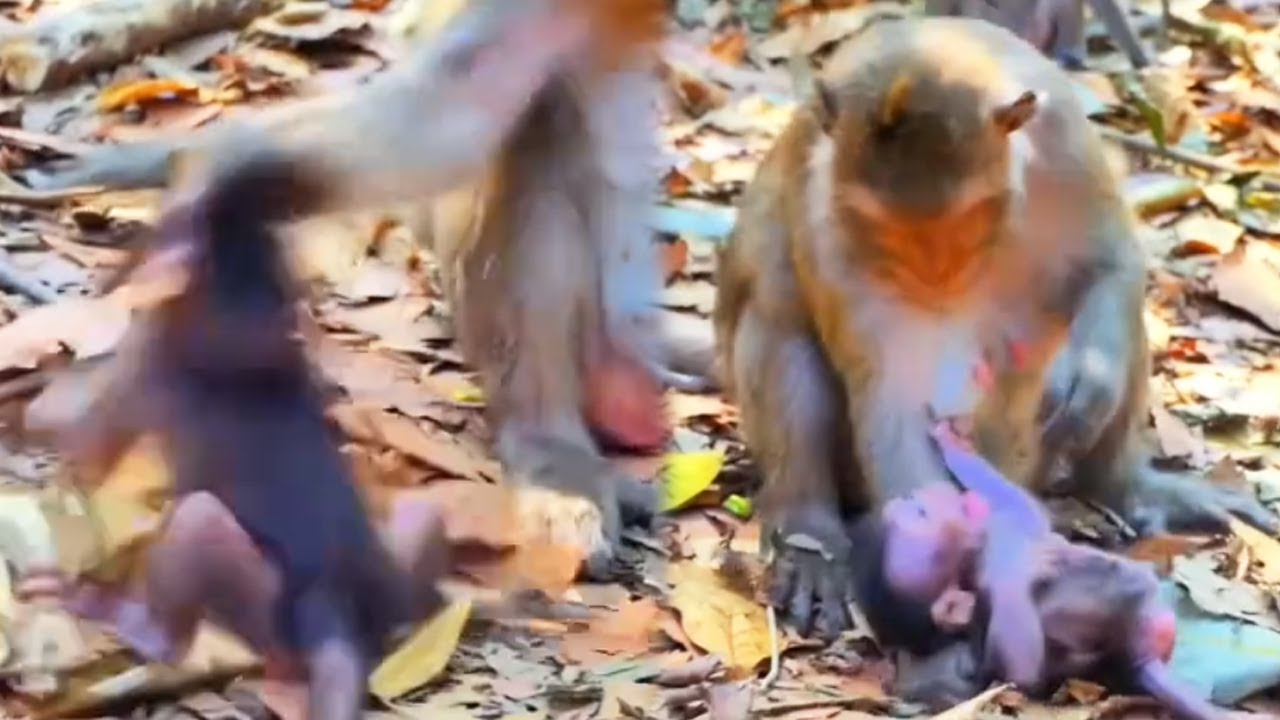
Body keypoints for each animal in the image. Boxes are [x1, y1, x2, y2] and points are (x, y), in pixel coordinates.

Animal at [711, 15, 1276, 641]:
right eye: (886, 232)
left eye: (967, 221)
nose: (933, 279)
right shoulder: (829, 215)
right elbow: (894, 394)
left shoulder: (1064, 143)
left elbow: (1111, 263)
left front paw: (1091, 376)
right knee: (775, 319)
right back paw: (810, 533)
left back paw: (1123, 486)